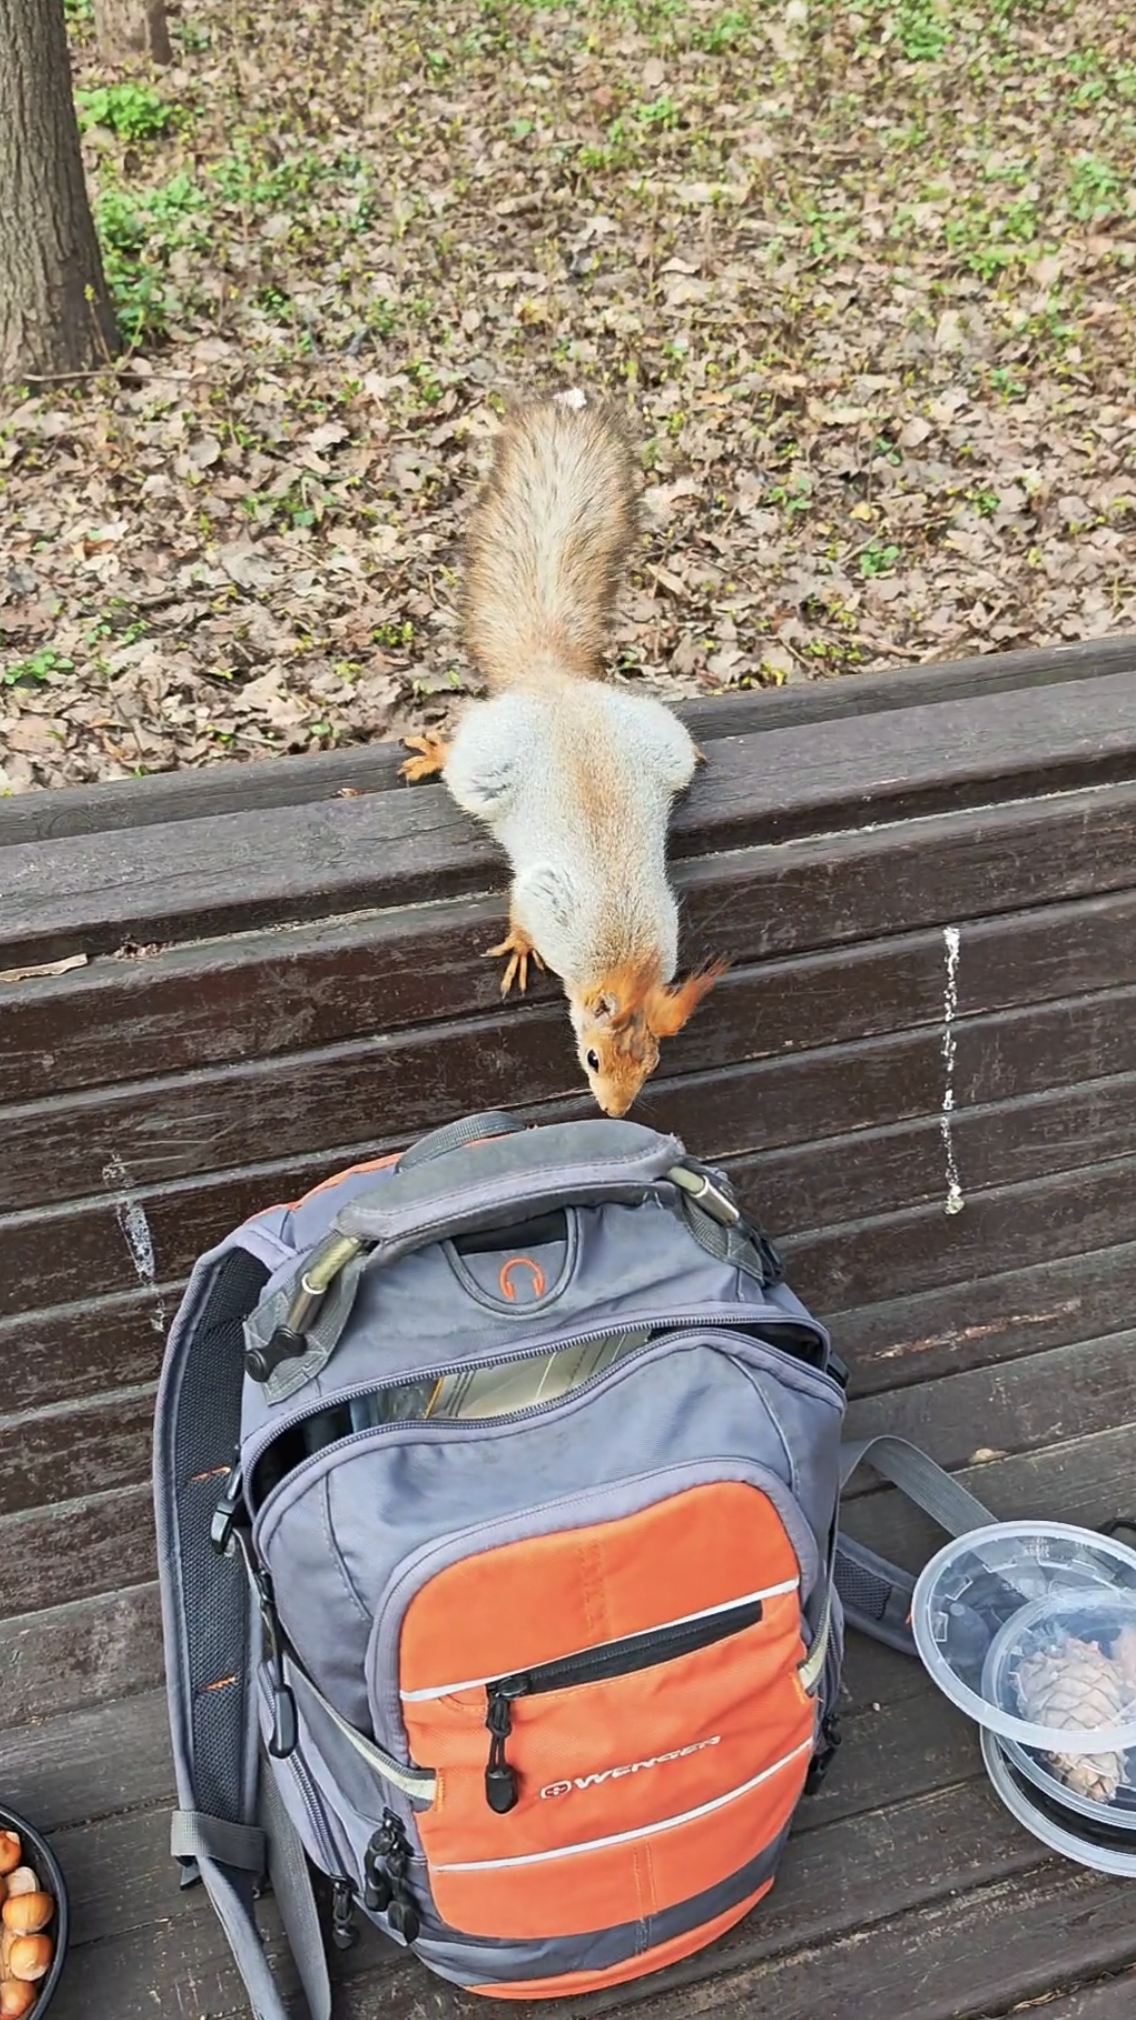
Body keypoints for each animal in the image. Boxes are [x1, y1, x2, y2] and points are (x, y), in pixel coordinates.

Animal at [400, 392, 727, 1118]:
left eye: (652, 1064)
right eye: (592, 1057)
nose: (615, 1111)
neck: (623, 960)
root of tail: (553, 686)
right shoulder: (549, 899)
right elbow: (523, 909)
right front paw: (521, 949)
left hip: (651, 737)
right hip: (487, 763)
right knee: (460, 762)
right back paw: (433, 752)